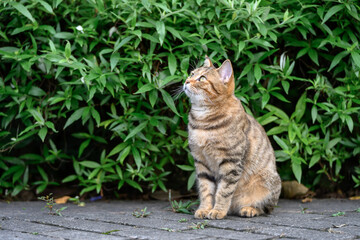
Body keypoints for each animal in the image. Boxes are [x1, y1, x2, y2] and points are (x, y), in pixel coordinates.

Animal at [184, 56, 282, 219]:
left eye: (202, 78)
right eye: (192, 73)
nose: (186, 81)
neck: (203, 120)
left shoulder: (231, 162)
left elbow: (224, 191)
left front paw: (218, 211)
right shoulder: (201, 162)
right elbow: (206, 190)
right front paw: (205, 209)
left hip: (268, 183)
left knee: (266, 208)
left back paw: (249, 209)